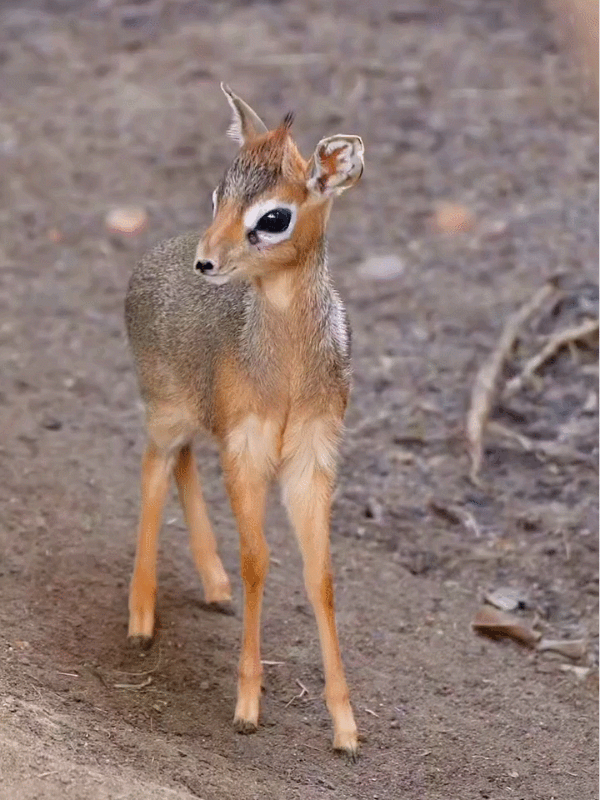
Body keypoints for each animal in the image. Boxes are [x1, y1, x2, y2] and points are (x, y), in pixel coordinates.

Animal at [124, 83, 364, 758]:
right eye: (219, 193)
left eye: (274, 216)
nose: (207, 261)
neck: (285, 373)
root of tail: (151, 260)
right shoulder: (249, 448)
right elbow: (258, 559)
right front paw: (248, 705)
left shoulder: (312, 458)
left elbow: (320, 575)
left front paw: (345, 727)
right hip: (166, 409)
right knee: (155, 468)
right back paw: (141, 618)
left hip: (197, 417)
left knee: (180, 463)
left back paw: (213, 584)